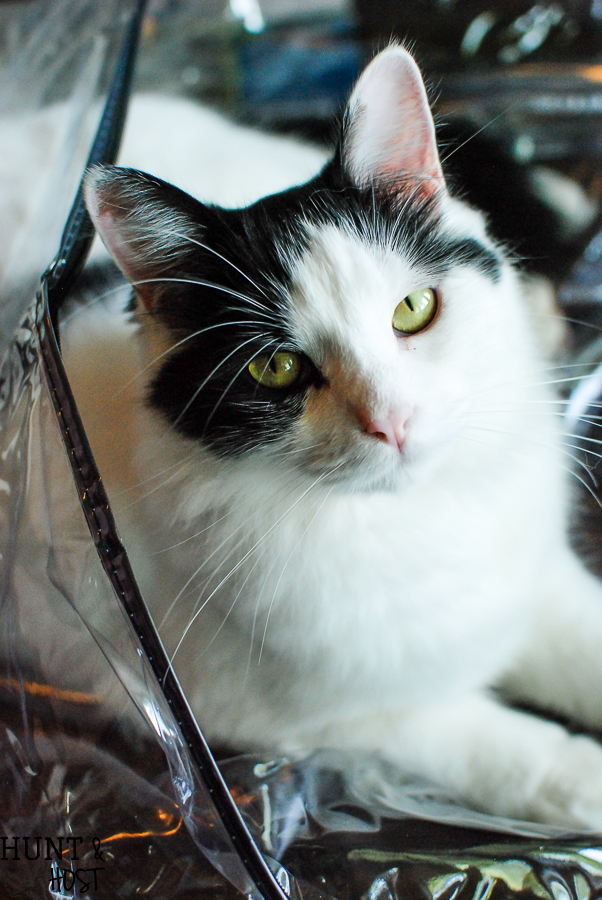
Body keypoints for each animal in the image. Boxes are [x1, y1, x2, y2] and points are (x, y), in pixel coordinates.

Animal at [61, 44, 602, 828]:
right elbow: (503, 750)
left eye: (413, 310)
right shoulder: (332, 721)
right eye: (276, 367)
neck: (415, 519)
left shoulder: (541, 583)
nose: (392, 420)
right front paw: (586, 781)